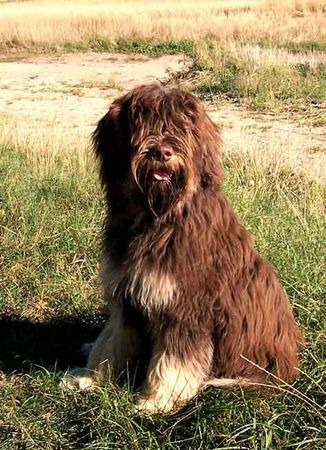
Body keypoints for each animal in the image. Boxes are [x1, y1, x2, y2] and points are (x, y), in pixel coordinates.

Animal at [71, 82, 304, 414]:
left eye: (182, 127)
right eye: (141, 123)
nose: (162, 152)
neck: (159, 217)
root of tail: (290, 365)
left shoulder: (186, 306)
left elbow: (174, 359)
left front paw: (158, 399)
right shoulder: (127, 295)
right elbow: (112, 341)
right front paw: (92, 379)